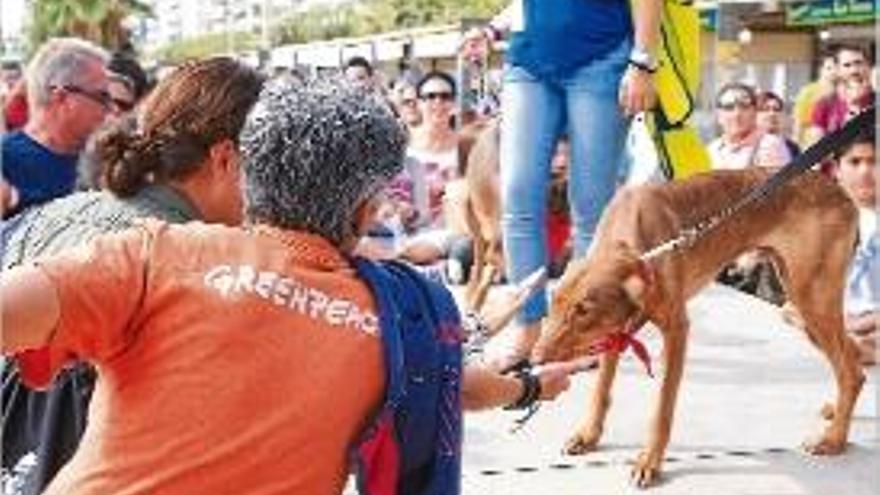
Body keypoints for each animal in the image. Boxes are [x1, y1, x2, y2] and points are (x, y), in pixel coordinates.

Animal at [532, 167, 864, 488]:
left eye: (583, 312)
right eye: (553, 302)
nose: (535, 359)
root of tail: (841, 193)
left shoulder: (677, 331)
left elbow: (662, 410)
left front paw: (649, 462)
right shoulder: (615, 331)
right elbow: (600, 391)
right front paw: (588, 435)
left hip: (810, 301)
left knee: (849, 372)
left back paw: (834, 439)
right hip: (802, 305)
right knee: (853, 359)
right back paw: (836, 412)